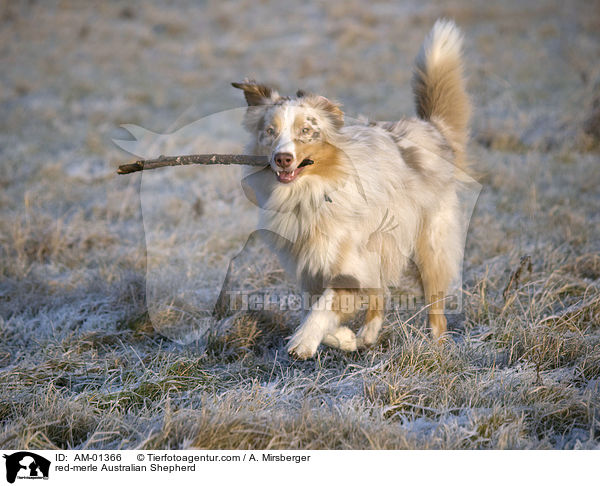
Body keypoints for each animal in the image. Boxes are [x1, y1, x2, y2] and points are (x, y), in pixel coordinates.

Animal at [232, 19, 472, 358]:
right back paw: (367, 335)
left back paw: (437, 347)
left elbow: (325, 307)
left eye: (306, 130)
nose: (282, 158)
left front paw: (303, 341)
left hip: (429, 244)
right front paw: (343, 338)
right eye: (270, 131)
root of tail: (431, 128)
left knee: (435, 307)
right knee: (380, 294)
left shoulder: (349, 263)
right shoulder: (312, 271)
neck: (309, 193)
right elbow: (318, 309)